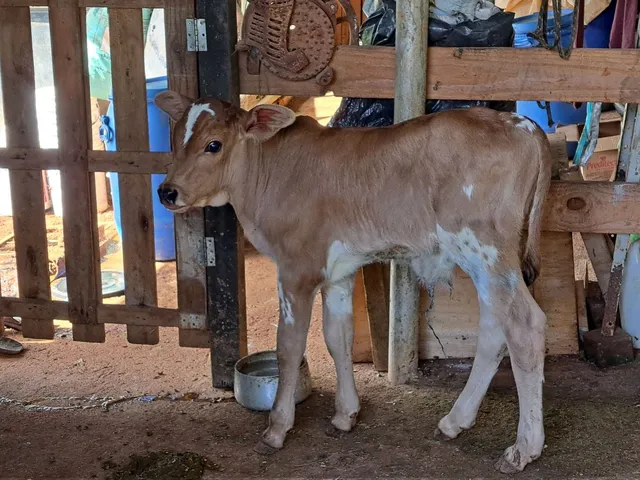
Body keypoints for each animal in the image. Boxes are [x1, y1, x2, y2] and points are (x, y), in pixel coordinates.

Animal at [154, 90, 553, 474]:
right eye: (174, 138)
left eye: (214, 144)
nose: (167, 191)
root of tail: (521, 124)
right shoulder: (339, 272)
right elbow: (337, 338)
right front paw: (345, 414)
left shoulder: (296, 270)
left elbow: (289, 348)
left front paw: (277, 428)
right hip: (488, 259)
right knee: (494, 328)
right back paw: (456, 420)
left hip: (485, 249)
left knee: (524, 324)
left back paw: (523, 450)